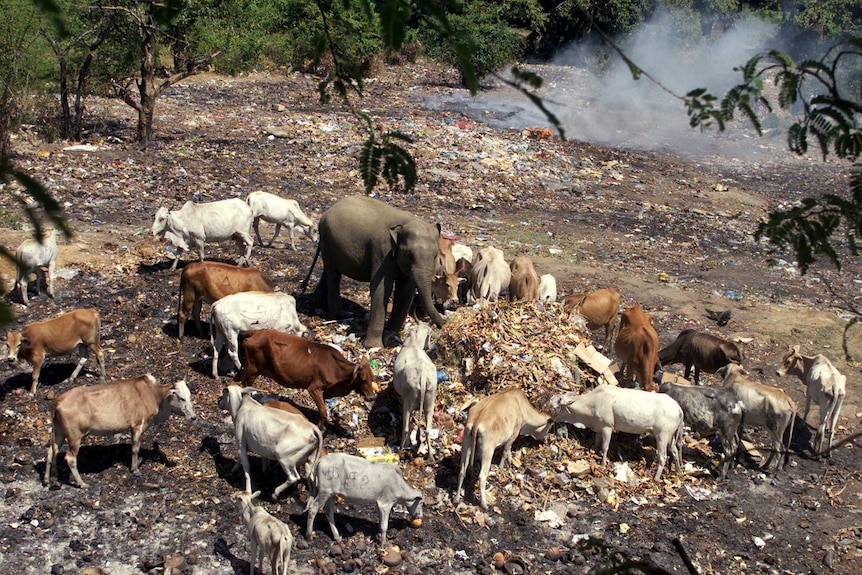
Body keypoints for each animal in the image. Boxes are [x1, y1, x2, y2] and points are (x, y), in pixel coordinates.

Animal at [44, 376, 197, 488]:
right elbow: (135, 448)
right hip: (75, 437)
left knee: (52, 451)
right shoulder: (138, 425)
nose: (193, 417)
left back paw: (50, 480)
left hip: (59, 432)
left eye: (190, 396)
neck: (153, 394)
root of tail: (59, 399)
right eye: (181, 398)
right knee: (70, 458)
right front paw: (135, 469)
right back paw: (82, 483)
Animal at [240, 328, 382, 428]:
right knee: (242, 387)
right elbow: (323, 411)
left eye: (372, 378)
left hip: (247, 369)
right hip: (252, 370)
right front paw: (320, 428)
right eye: (362, 379)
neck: (337, 369)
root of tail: (255, 332)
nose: (372, 397)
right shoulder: (314, 389)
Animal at [308, 196, 446, 348]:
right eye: (409, 255)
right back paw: (337, 315)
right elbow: (380, 288)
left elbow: (405, 291)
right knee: (333, 275)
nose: (445, 323)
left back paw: (318, 304)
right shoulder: (382, 250)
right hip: (327, 240)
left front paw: (391, 335)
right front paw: (374, 346)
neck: (406, 222)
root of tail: (327, 211)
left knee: (328, 272)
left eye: (435, 256)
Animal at [396, 324, 442, 460]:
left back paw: (400, 453)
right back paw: (431, 456)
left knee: (406, 428)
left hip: (409, 401)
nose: (430, 345)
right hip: (430, 400)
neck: (414, 342)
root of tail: (422, 375)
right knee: (428, 429)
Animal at [552, 388, 684, 482]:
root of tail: (678, 408)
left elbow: (605, 447)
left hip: (662, 435)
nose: (550, 416)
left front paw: (603, 464)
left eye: (557, 403)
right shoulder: (599, 427)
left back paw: (656, 478)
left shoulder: (607, 427)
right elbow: (597, 443)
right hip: (670, 436)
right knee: (675, 451)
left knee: (663, 457)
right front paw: (595, 453)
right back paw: (678, 471)